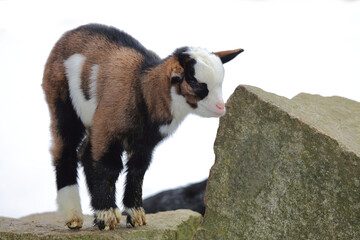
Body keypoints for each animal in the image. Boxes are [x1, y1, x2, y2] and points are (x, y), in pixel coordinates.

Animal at [43, 23, 245, 231]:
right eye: (195, 82)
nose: (221, 107)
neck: (143, 89)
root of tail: (68, 34)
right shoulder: (108, 129)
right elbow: (108, 166)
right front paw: (106, 215)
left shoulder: (144, 142)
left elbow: (137, 169)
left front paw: (135, 215)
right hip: (62, 101)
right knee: (65, 149)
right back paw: (73, 216)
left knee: (84, 151)